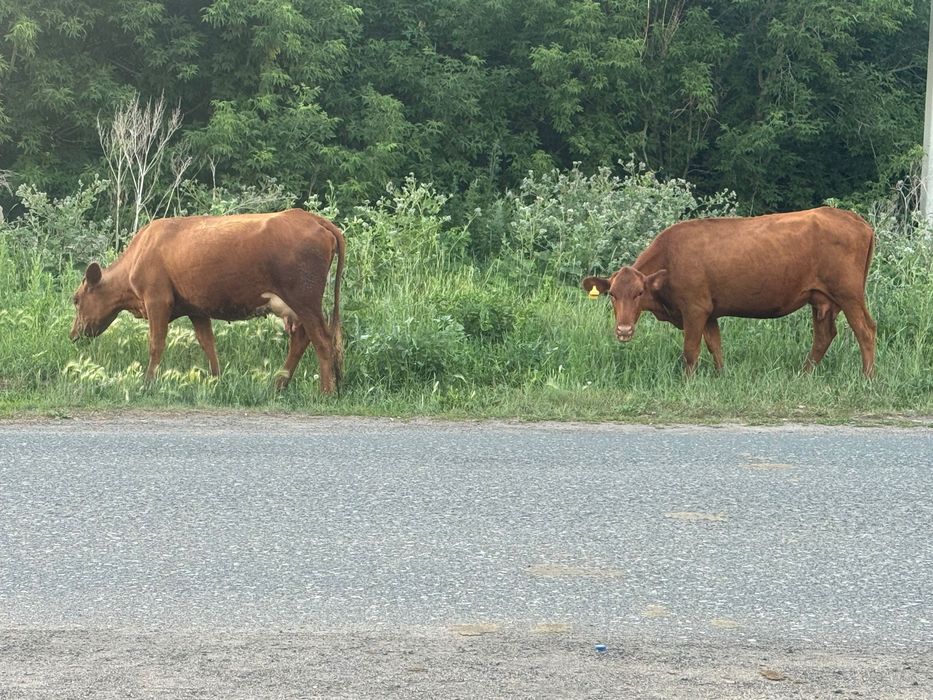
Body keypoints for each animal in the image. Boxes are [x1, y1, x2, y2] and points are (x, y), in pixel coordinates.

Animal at [70, 208, 345, 394]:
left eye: (76, 299)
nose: (73, 335)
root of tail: (309, 216)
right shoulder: (196, 309)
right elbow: (208, 344)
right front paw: (216, 380)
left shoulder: (157, 301)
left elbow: (156, 344)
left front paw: (147, 383)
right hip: (296, 307)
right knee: (302, 340)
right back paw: (278, 385)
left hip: (305, 300)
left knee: (322, 341)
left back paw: (325, 392)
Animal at [582, 207, 876, 377]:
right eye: (612, 295)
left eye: (639, 292)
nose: (623, 330)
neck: (671, 258)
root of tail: (856, 219)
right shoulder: (710, 311)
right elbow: (715, 346)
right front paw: (722, 376)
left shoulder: (695, 309)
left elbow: (691, 350)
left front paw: (688, 382)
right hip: (821, 299)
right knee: (824, 335)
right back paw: (804, 374)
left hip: (849, 294)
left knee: (865, 331)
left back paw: (867, 377)